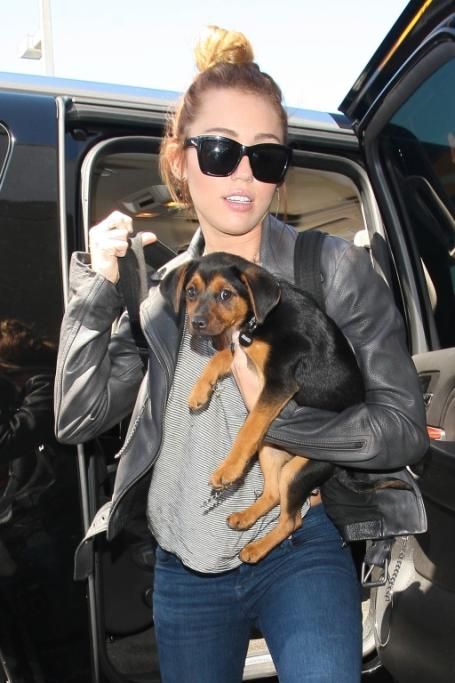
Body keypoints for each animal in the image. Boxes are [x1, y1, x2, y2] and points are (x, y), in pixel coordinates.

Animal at [159, 251, 366, 563]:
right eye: (191, 292)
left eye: (225, 294)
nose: (196, 323)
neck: (256, 322)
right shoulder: (242, 352)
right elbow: (221, 357)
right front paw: (199, 391)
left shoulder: (279, 382)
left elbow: (250, 425)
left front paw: (229, 469)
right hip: (270, 451)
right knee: (273, 494)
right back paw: (245, 517)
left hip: (301, 470)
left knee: (292, 520)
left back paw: (256, 548)